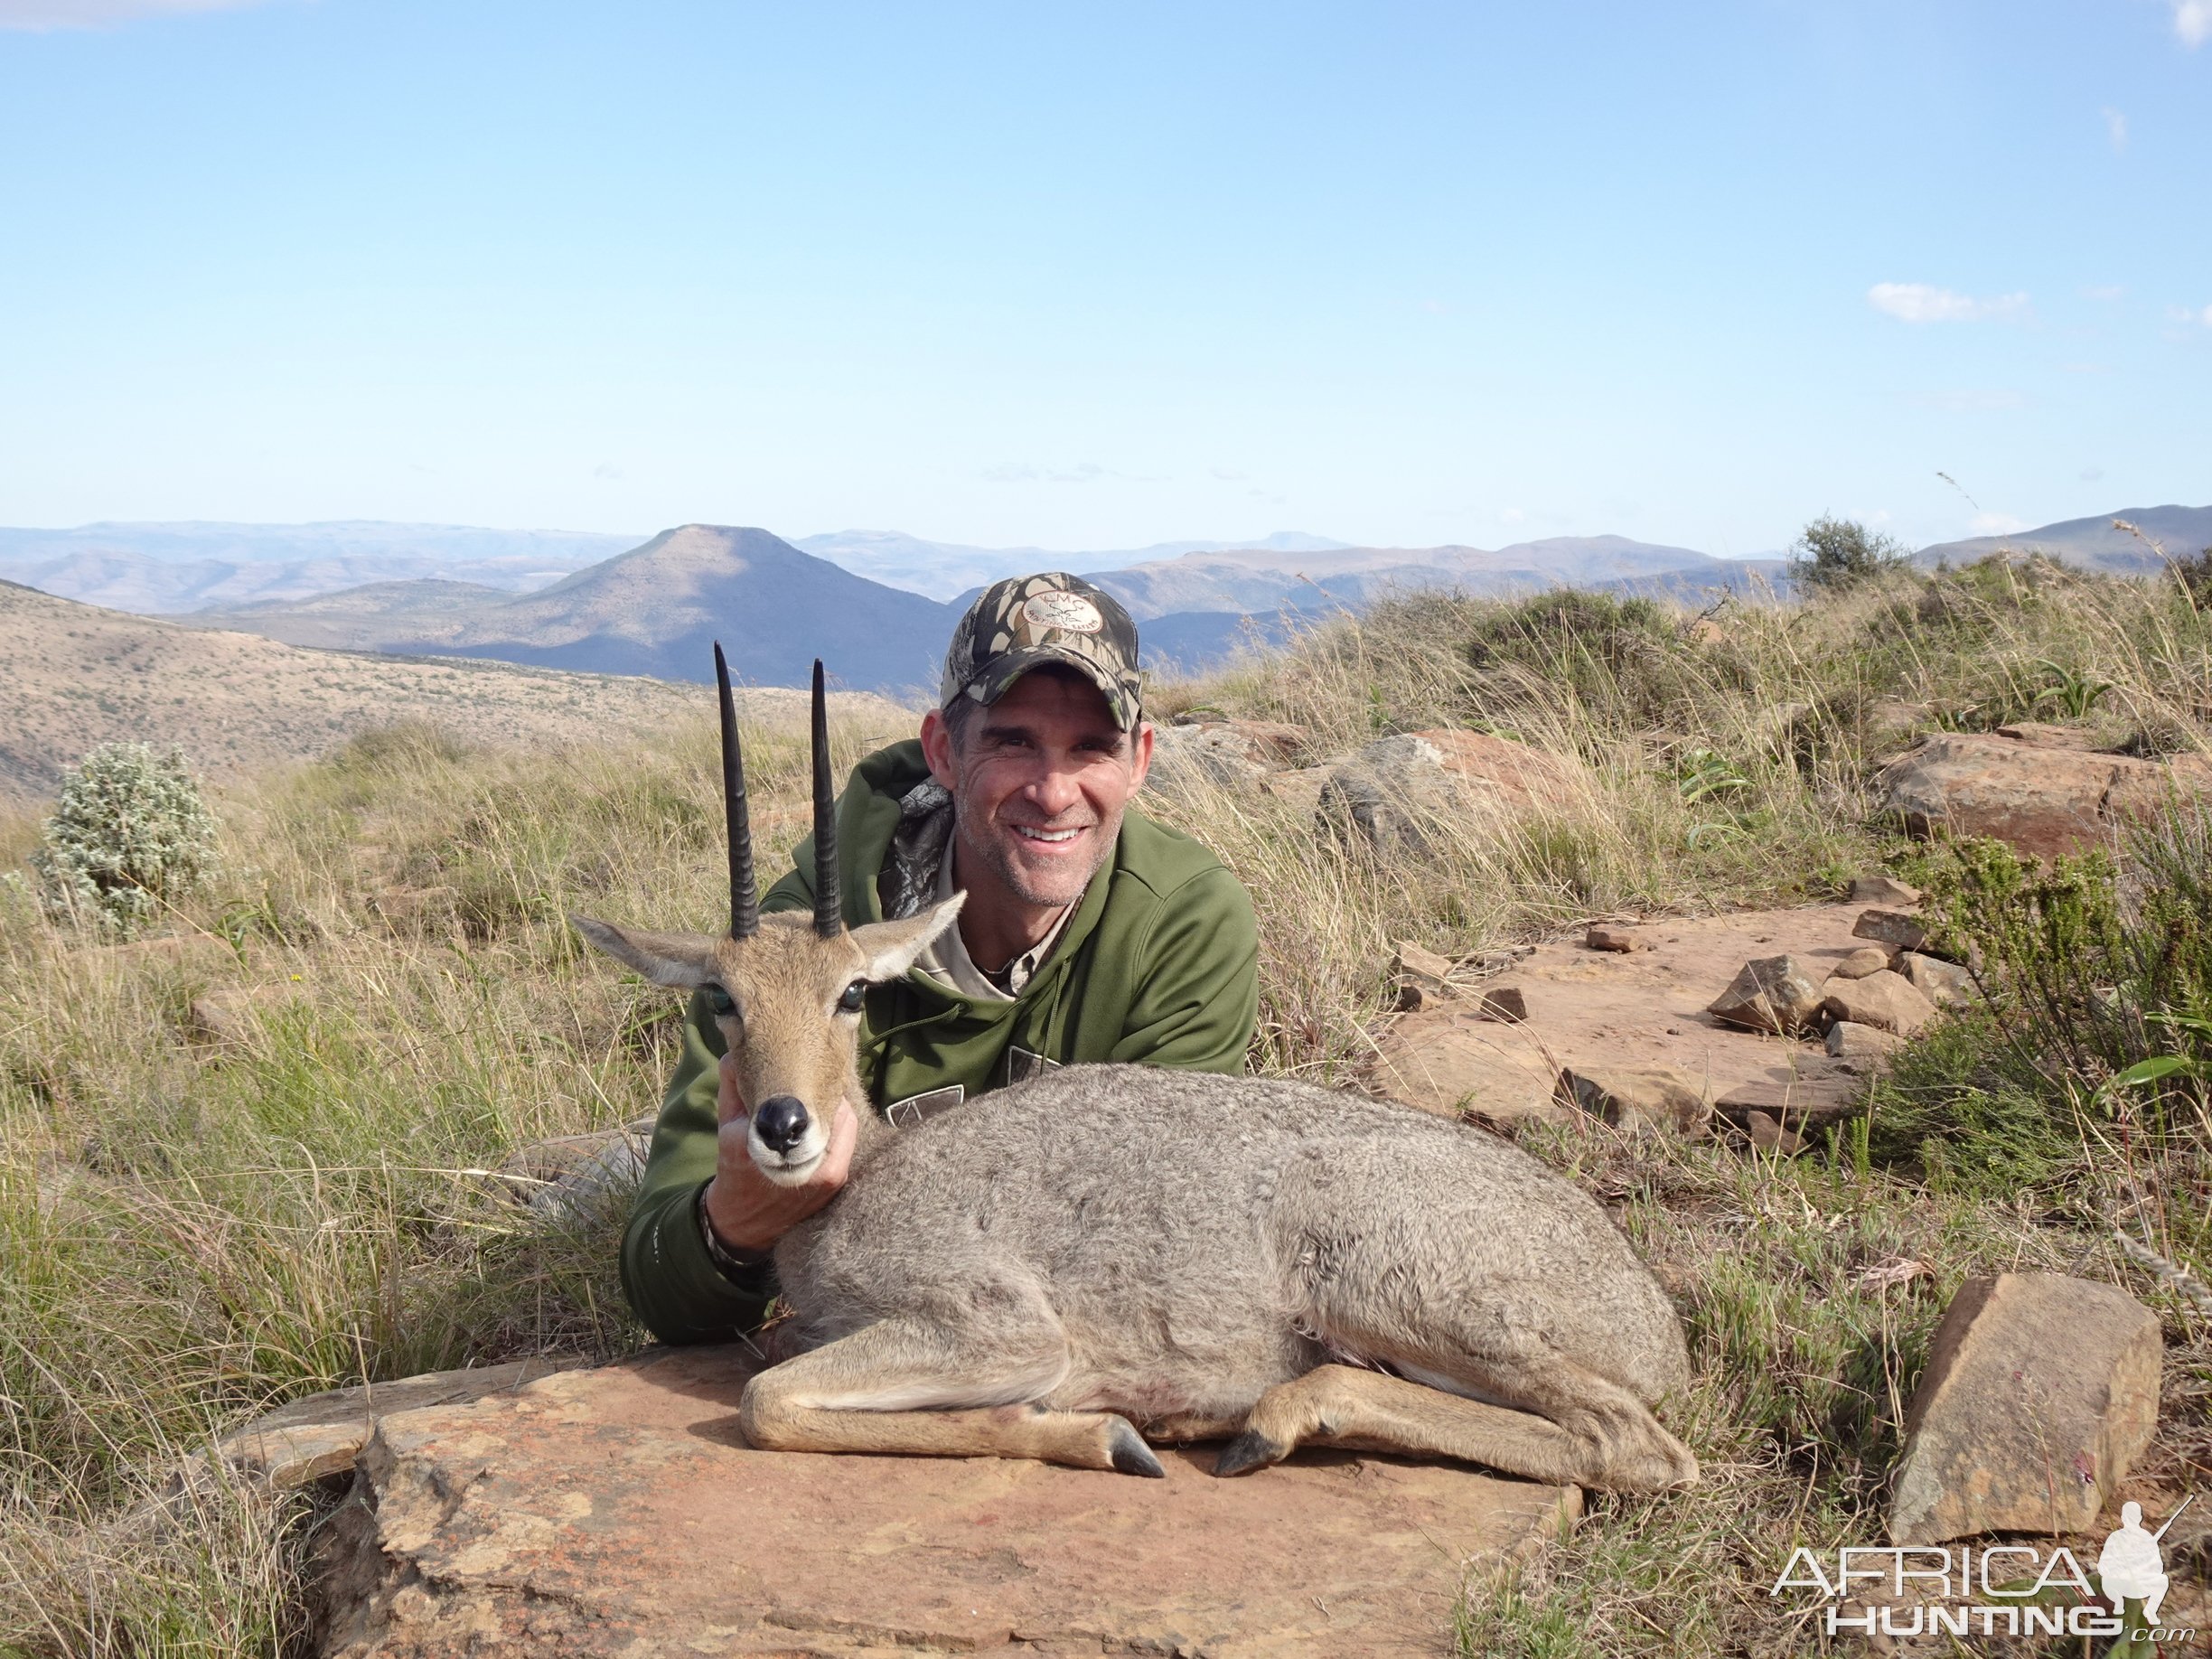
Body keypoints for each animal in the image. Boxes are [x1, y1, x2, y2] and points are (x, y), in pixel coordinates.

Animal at [570, 650, 1690, 1495]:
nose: (784, 1126)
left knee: (1633, 1443)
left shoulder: (1001, 1328)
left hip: (1397, 1287)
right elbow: (772, 1391)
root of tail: (1655, 1323)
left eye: (852, 992)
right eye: (722, 998)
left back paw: (1260, 1420)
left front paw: (1094, 1432)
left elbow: (765, 1401)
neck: (863, 1186)